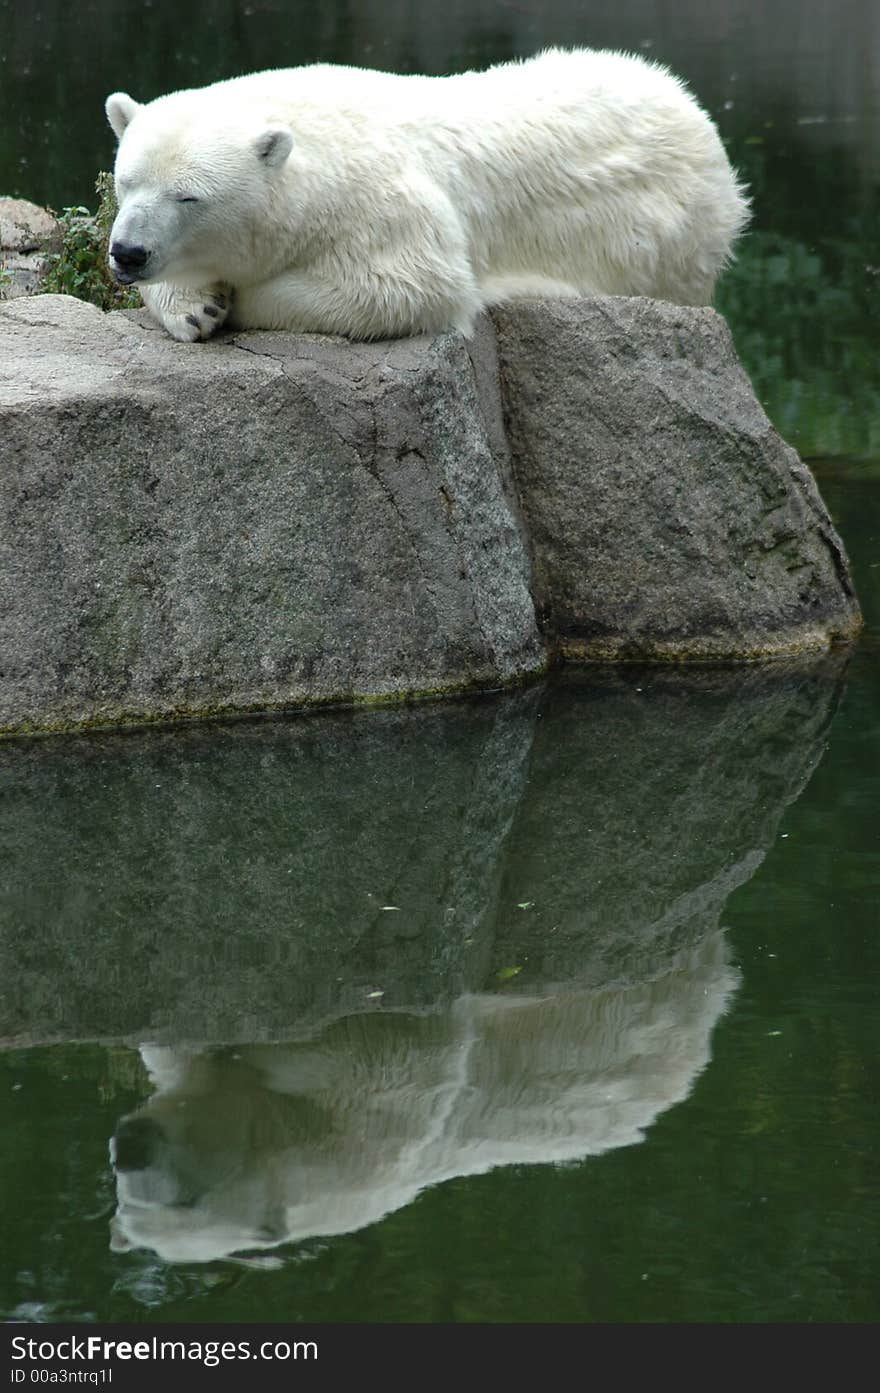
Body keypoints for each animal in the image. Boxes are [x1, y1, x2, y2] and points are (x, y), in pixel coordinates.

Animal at [105, 50, 751, 344]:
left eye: (189, 198)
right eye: (127, 181)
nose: (127, 253)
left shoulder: (378, 206)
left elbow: (407, 288)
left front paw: (237, 299)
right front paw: (197, 306)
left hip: (671, 240)